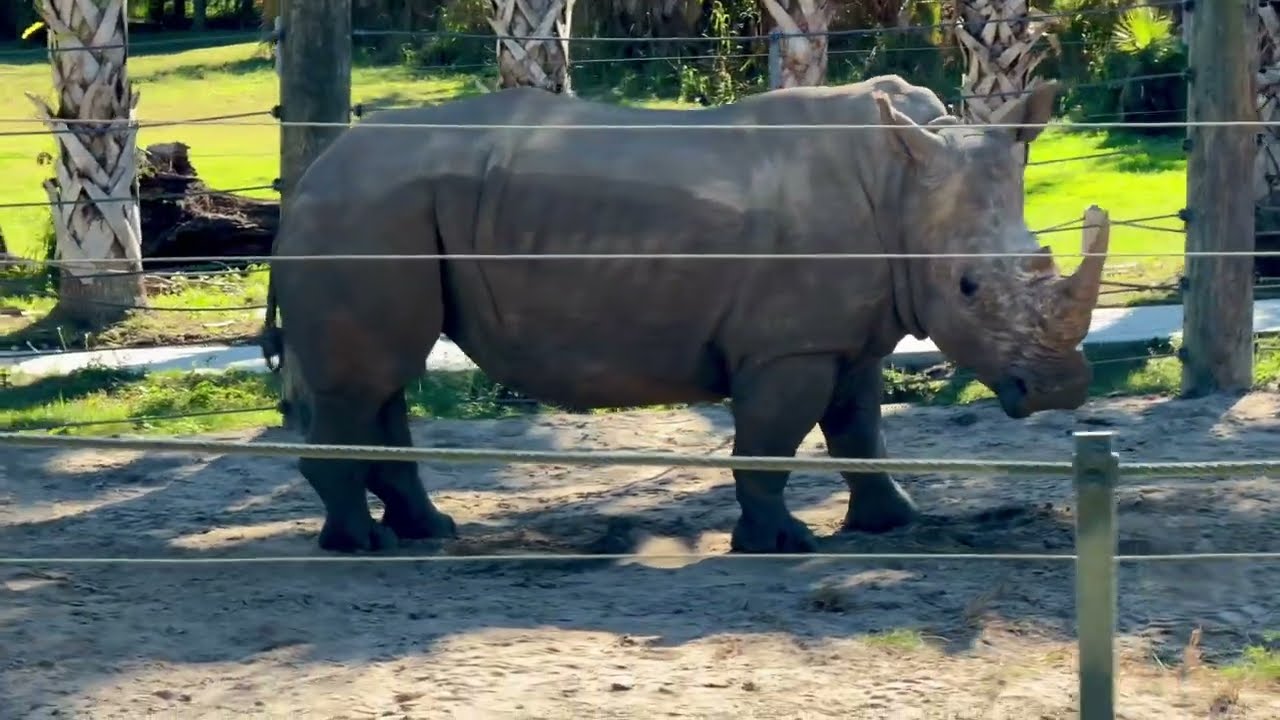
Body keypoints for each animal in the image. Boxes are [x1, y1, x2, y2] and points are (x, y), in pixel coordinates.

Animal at [261, 74, 1108, 554]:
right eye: (968, 288)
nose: (1062, 389)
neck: (905, 177)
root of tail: (310, 175)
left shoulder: (850, 334)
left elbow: (859, 430)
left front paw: (894, 523)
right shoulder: (789, 347)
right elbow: (773, 440)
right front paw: (781, 544)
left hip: (381, 212)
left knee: (383, 384)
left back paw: (425, 532)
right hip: (365, 213)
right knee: (364, 383)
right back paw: (360, 546)